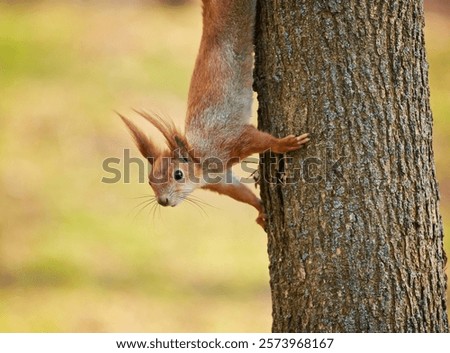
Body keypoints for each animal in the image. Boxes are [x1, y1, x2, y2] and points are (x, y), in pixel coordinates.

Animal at [119, 0, 310, 226]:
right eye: (150, 181)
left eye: (178, 175)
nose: (163, 201)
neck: (198, 158)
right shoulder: (218, 179)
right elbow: (238, 191)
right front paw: (260, 210)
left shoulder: (228, 141)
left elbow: (259, 139)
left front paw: (285, 144)